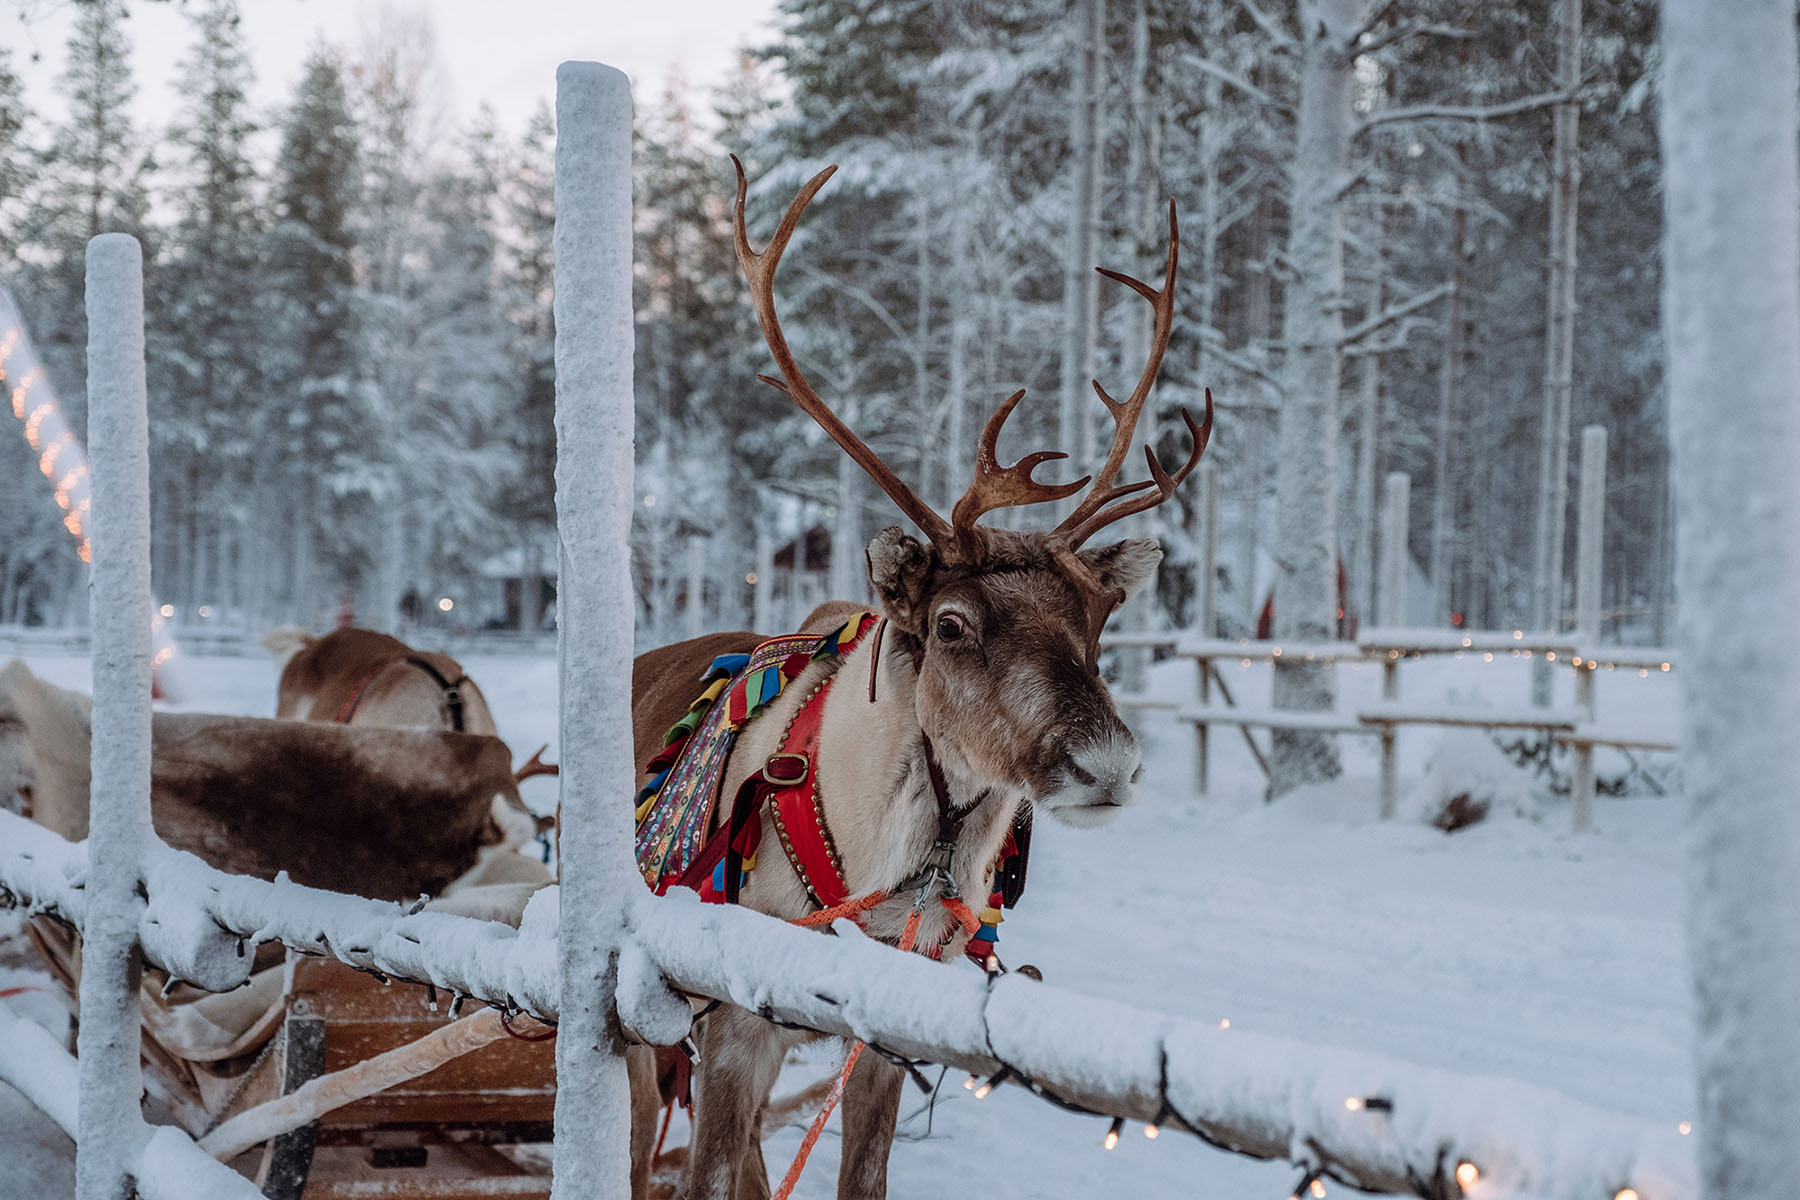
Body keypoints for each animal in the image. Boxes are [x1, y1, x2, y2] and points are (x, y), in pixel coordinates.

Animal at [623, 158, 1212, 1200]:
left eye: (1099, 624)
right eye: (950, 623)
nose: (1109, 765)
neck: (896, 865)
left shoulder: (891, 1028)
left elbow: (860, 1175)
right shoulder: (731, 1028)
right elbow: (708, 1176)